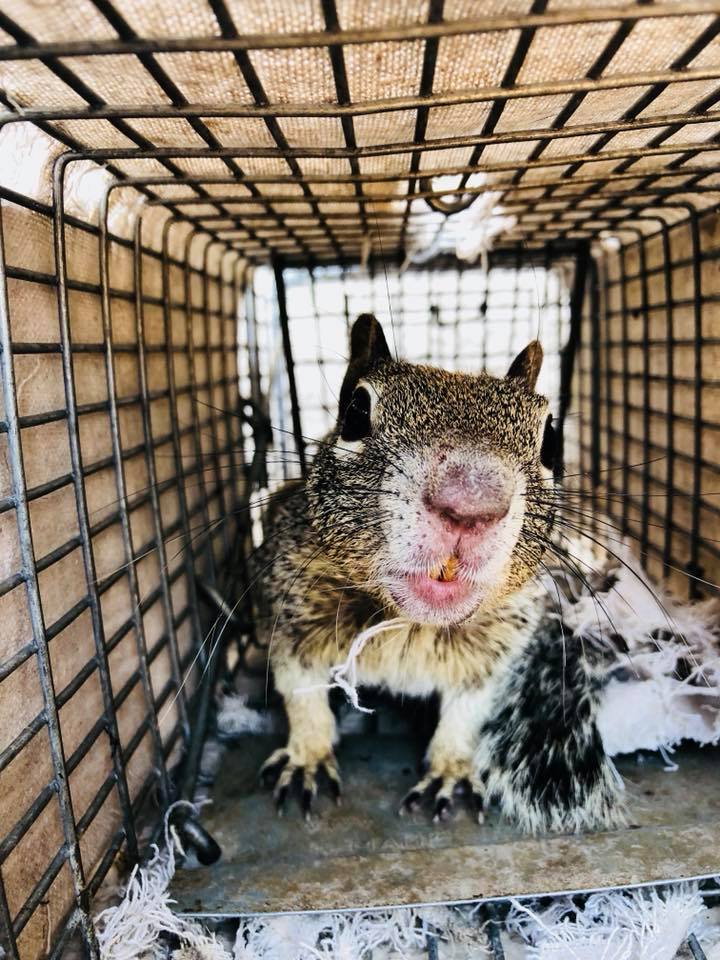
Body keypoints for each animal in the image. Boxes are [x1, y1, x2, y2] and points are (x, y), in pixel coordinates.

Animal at [252, 316, 620, 832]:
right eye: (356, 412)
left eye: (551, 439)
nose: (472, 500)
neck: (408, 623)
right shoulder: (287, 609)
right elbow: (301, 689)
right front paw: (307, 755)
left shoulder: (497, 649)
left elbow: (468, 713)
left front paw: (452, 771)